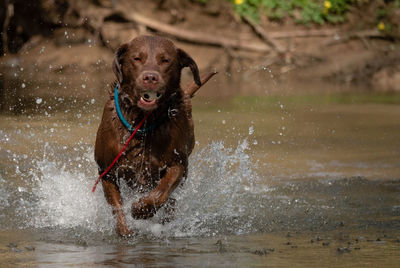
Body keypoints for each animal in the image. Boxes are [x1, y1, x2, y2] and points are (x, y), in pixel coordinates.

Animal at [94, 35, 216, 237]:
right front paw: (125, 230)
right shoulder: (107, 171)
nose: (150, 77)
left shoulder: (178, 163)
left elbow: (162, 192)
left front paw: (141, 209)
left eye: (165, 60)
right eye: (137, 58)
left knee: (171, 201)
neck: (143, 121)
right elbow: (116, 206)